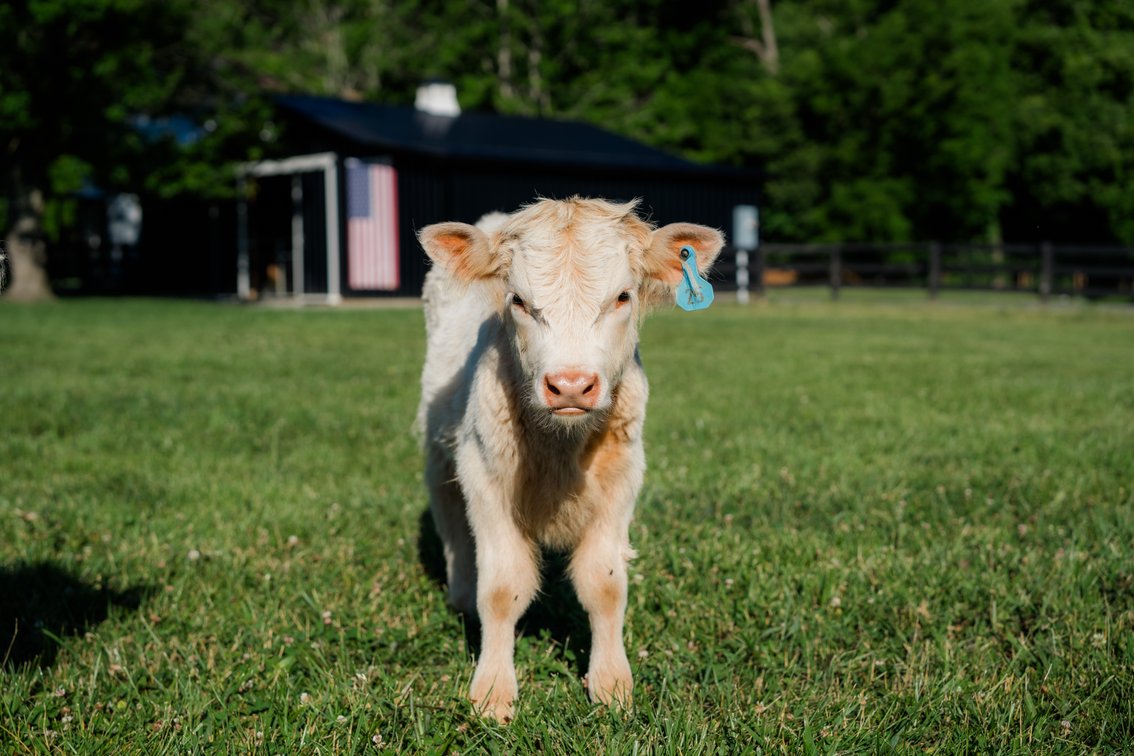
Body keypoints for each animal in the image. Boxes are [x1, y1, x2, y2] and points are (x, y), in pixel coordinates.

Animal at [416, 196, 723, 722]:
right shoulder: (485, 475)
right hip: (439, 444)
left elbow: (605, 587)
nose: (571, 385)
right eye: (518, 301)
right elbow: (500, 589)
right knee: (449, 516)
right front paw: (492, 690)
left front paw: (612, 684)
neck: (561, 450)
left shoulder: (621, 480)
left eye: (622, 296)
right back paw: (459, 594)